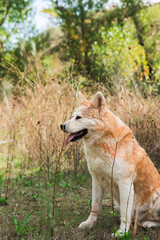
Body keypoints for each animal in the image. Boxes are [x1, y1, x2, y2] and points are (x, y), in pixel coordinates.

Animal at [60, 91, 160, 236]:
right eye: (73, 116)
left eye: (78, 117)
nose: (62, 125)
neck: (103, 143)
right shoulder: (96, 180)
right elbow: (94, 207)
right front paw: (89, 224)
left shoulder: (125, 184)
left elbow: (125, 213)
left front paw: (122, 232)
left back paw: (148, 223)